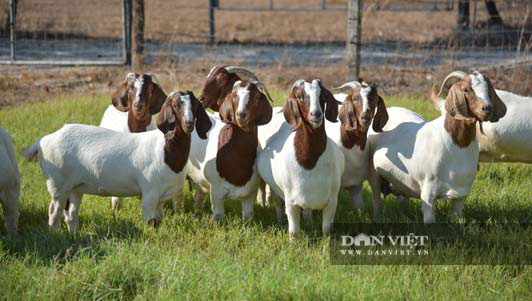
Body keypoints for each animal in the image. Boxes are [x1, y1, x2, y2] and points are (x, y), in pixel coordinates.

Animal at [20, 90, 212, 231]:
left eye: (195, 105)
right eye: (176, 105)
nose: (189, 124)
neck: (165, 149)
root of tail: (42, 141)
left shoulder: (161, 197)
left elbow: (158, 220)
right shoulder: (149, 192)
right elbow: (149, 221)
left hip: (75, 187)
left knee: (71, 215)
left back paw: (72, 235)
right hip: (57, 184)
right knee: (54, 212)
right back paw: (55, 234)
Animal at [185, 79, 272, 220]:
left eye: (256, 96)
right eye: (234, 96)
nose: (241, 115)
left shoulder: (250, 193)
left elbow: (248, 216)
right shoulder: (216, 191)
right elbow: (218, 215)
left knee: (199, 195)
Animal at [258, 79, 344, 237]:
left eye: (323, 96)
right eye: (300, 97)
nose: (316, 114)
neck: (309, 162)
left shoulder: (332, 201)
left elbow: (326, 229)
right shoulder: (291, 202)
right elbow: (294, 231)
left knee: (308, 211)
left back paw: (309, 223)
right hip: (276, 189)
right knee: (279, 205)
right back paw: (281, 221)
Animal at [368, 69, 504, 220]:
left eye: (489, 88)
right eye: (466, 89)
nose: (487, 108)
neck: (458, 144)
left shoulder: (462, 193)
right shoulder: (428, 192)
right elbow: (429, 219)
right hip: (373, 174)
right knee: (376, 197)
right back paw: (378, 216)